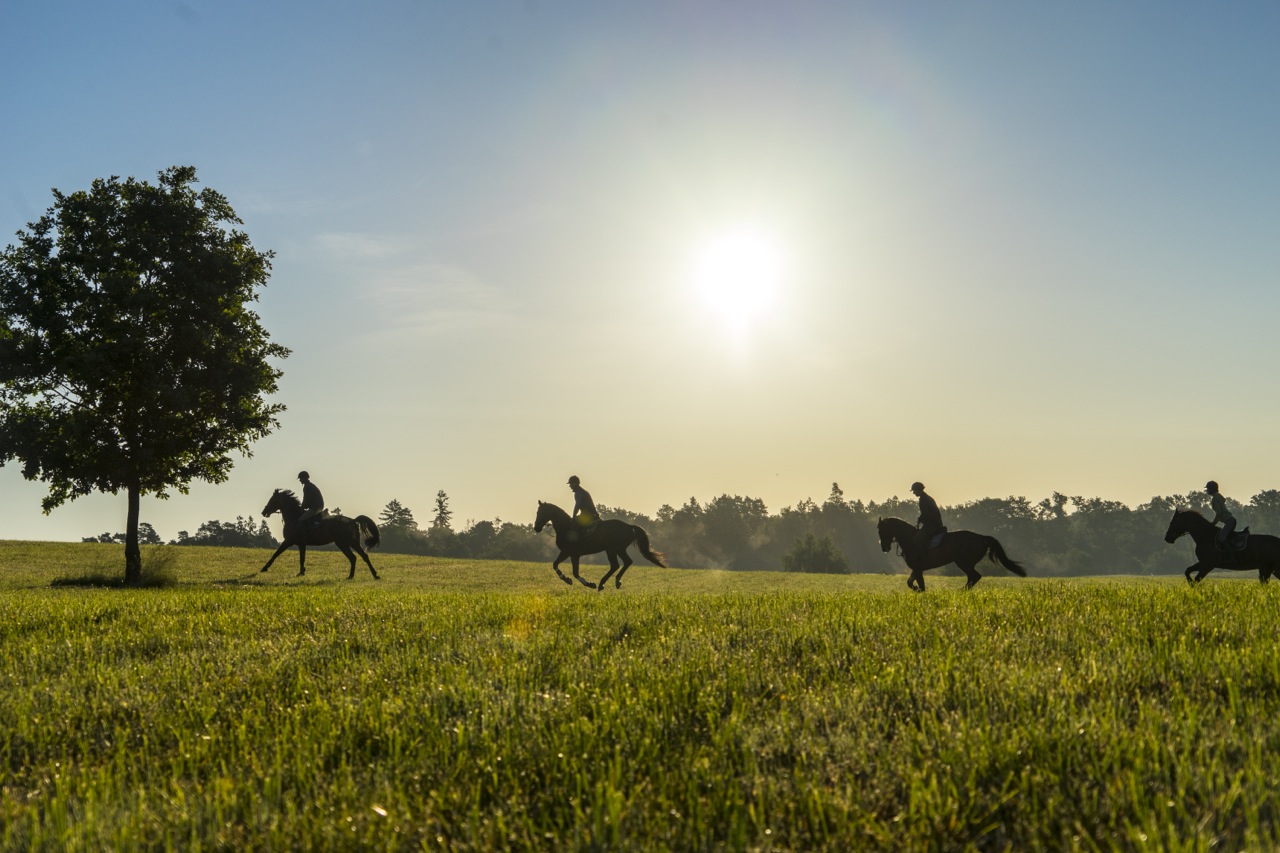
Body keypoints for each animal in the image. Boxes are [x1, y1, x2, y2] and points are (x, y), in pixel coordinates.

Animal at [532, 499, 670, 591]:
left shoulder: (571, 553)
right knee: (625, 562)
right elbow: (556, 565)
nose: (536, 527)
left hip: (613, 549)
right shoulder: (568, 553)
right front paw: (568, 579)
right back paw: (615, 581)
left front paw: (587, 583)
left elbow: (573, 572)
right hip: (617, 550)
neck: (566, 527)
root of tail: (629, 526)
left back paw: (601, 583)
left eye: (540, 512)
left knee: (616, 565)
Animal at [875, 512, 1024, 591]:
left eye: (882, 530)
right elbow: (911, 583)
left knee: (974, 576)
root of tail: (982, 537)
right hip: (966, 563)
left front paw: (919, 592)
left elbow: (919, 585)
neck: (909, 538)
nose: (884, 548)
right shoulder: (917, 569)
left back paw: (961, 591)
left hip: (964, 562)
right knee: (972, 577)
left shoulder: (918, 568)